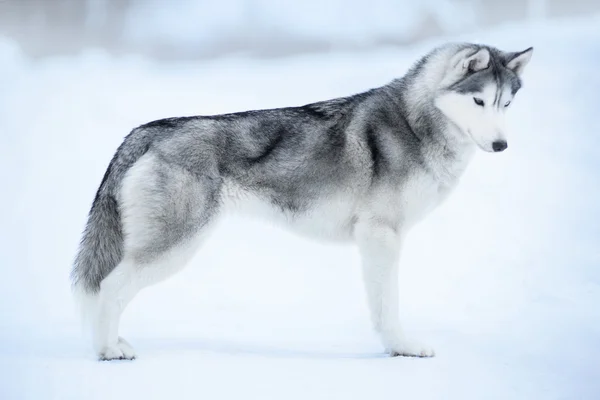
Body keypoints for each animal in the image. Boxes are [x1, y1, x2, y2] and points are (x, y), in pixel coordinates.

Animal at [71, 42, 536, 360]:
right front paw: (401, 347)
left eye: (506, 103)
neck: (414, 121)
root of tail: (148, 130)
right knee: (110, 287)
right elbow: (388, 304)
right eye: (478, 100)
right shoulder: (382, 236)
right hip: (173, 247)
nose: (501, 145)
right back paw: (108, 351)